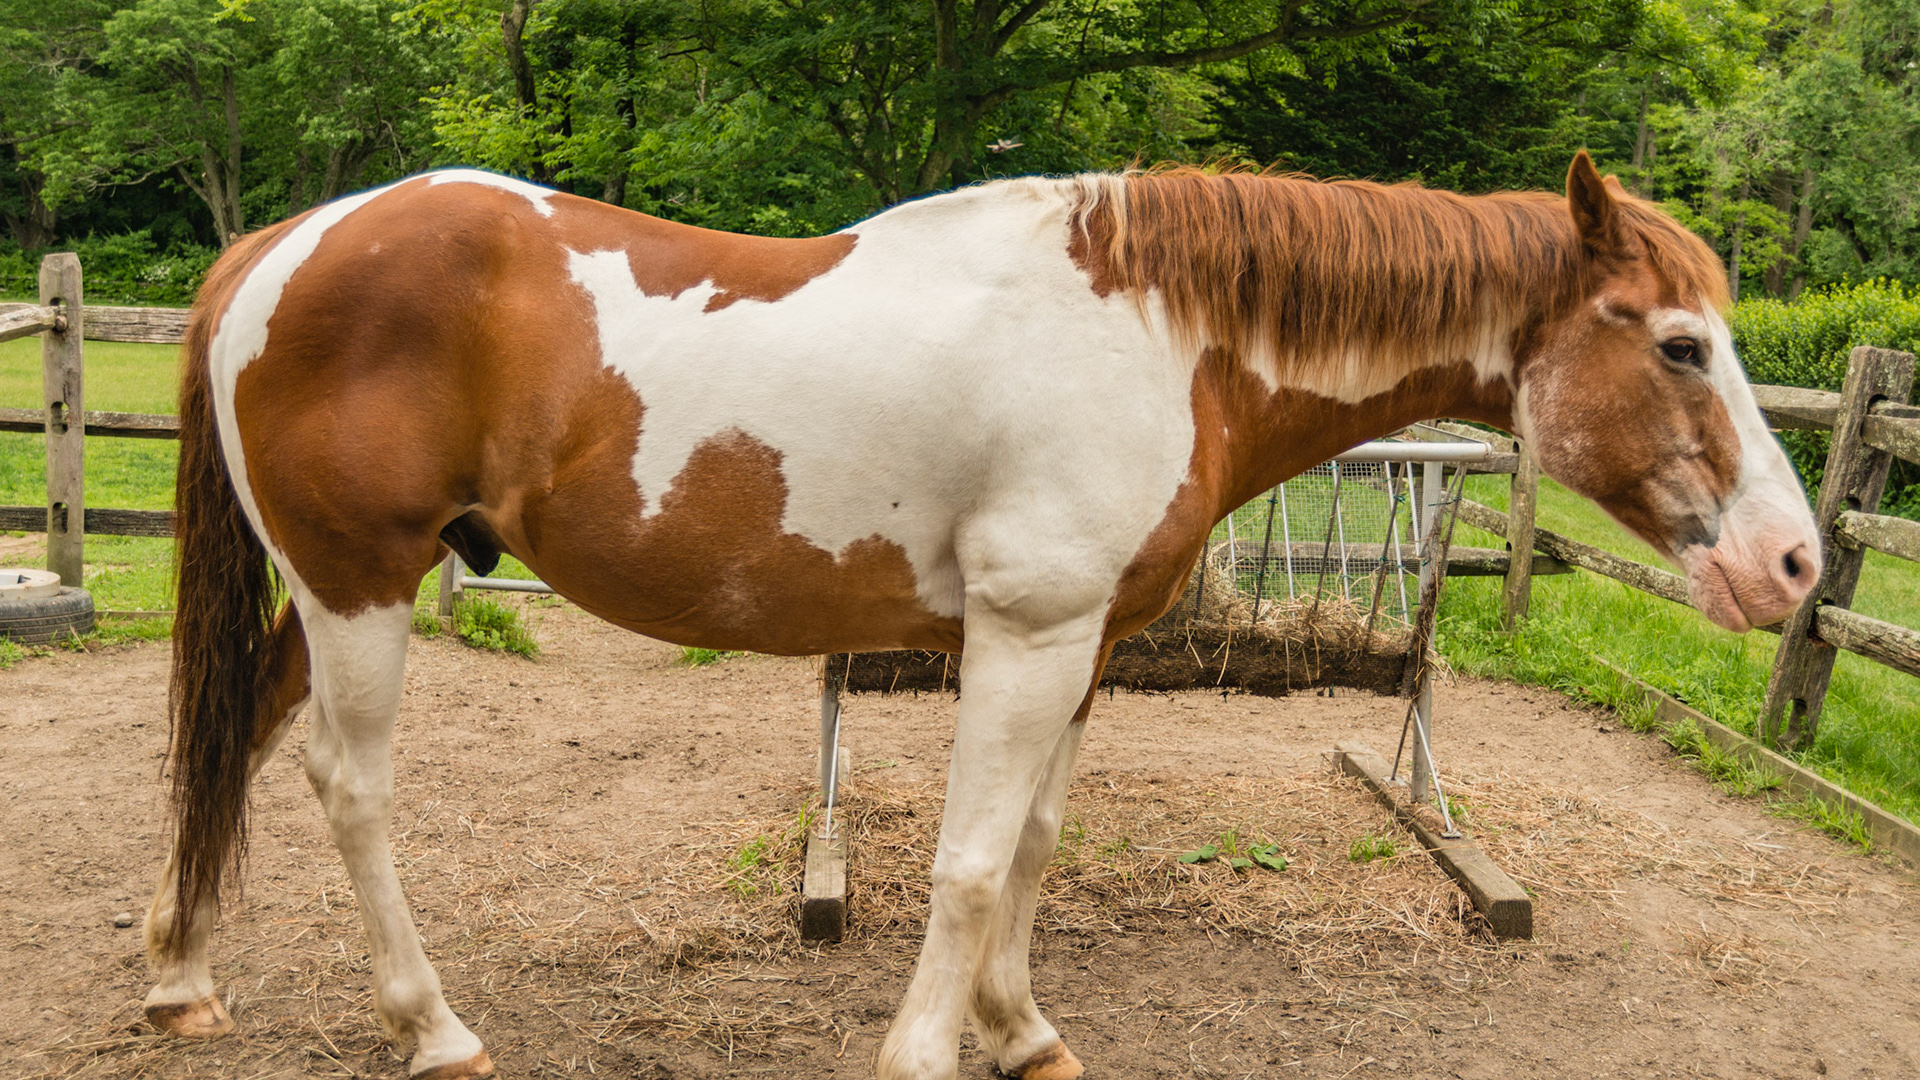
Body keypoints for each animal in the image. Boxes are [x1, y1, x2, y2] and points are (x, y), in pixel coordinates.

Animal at [142, 152, 1819, 1080]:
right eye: (1679, 344)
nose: (1796, 568)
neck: (1162, 334)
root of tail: (276, 248)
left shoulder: (1082, 649)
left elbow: (1031, 851)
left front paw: (1024, 1032)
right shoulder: (1024, 638)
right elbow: (960, 865)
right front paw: (928, 1049)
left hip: (327, 594)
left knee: (233, 747)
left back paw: (182, 978)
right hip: (360, 589)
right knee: (348, 787)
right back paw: (432, 1028)